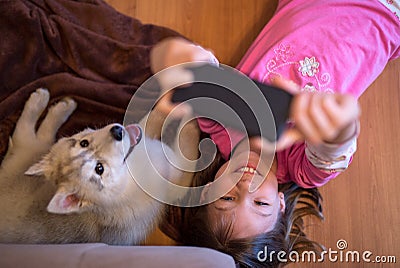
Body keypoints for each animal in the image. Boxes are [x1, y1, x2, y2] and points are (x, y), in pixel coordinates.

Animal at [0, 88, 192, 245]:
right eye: (99, 169)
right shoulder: (176, 178)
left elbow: (149, 121)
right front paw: (189, 115)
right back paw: (41, 101)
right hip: (27, 149)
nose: (117, 131)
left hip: (43, 149)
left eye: (83, 143)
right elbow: (185, 139)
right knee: (23, 133)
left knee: (43, 135)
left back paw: (61, 106)